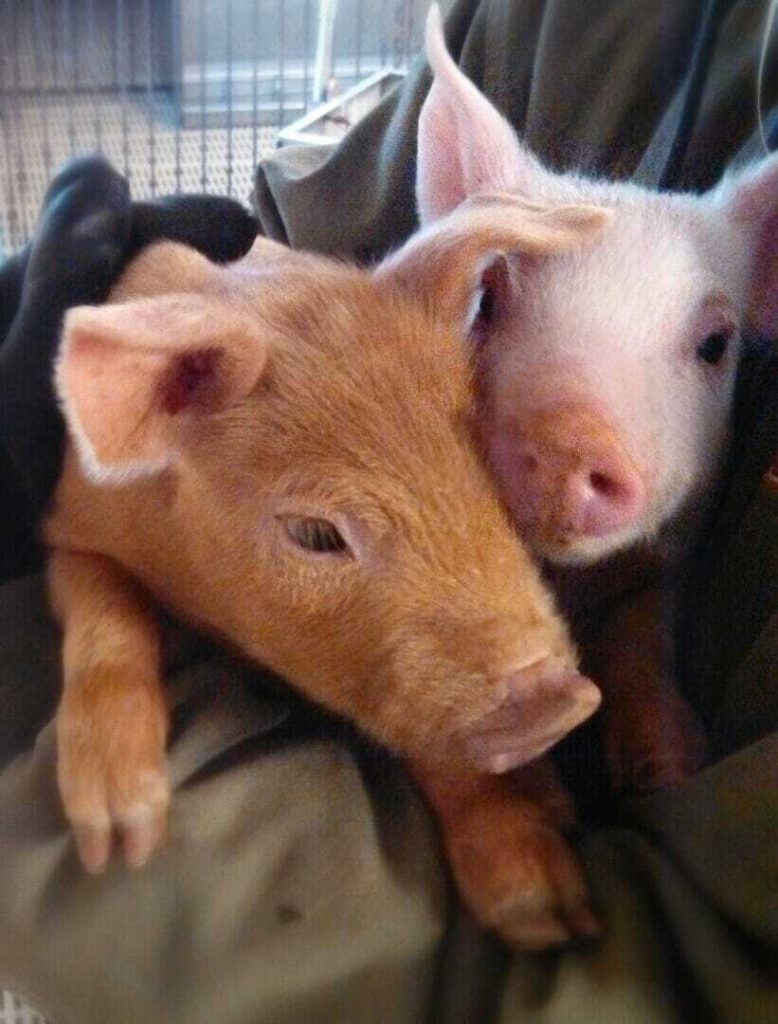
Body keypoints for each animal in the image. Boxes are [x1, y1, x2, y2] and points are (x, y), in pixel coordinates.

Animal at [392, 4, 778, 940]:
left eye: (715, 343)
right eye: (489, 296)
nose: (568, 441)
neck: (557, 582)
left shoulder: (662, 562)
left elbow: (641, 639)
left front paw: (674, 766)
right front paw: (548, 912)